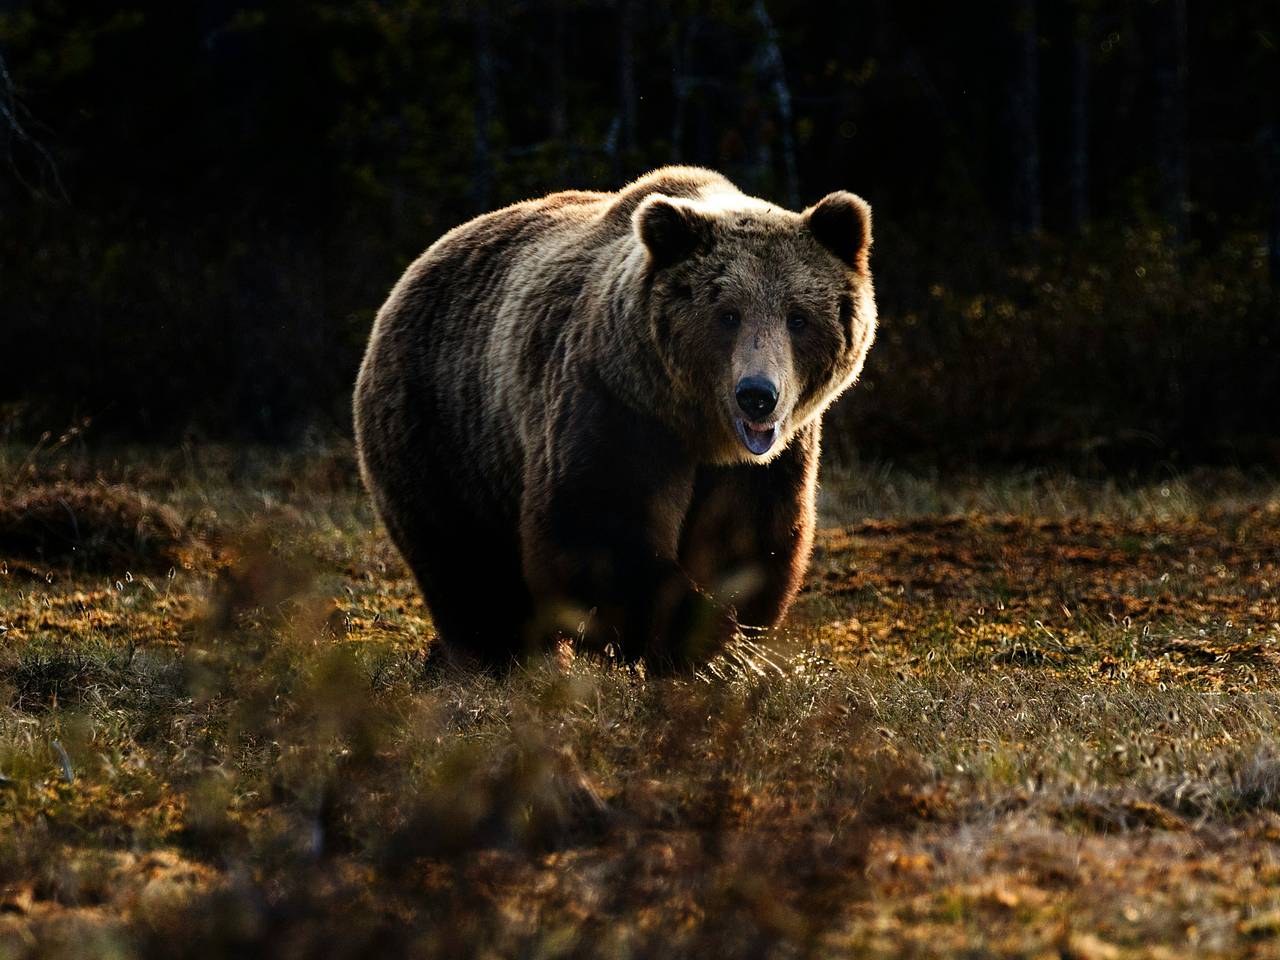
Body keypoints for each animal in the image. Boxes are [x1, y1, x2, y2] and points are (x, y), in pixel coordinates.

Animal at [355, 167, 875, 670]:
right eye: (728, 314)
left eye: (798, 317)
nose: (757, 396)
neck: (698, 427)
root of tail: (415, 268)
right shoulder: (615, 406)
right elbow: (597, 529)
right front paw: (692, 640)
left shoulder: (770, 459)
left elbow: (749, 541)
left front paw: (725, 644)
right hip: (444, 428)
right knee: (467, 562)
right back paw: (497, 656)